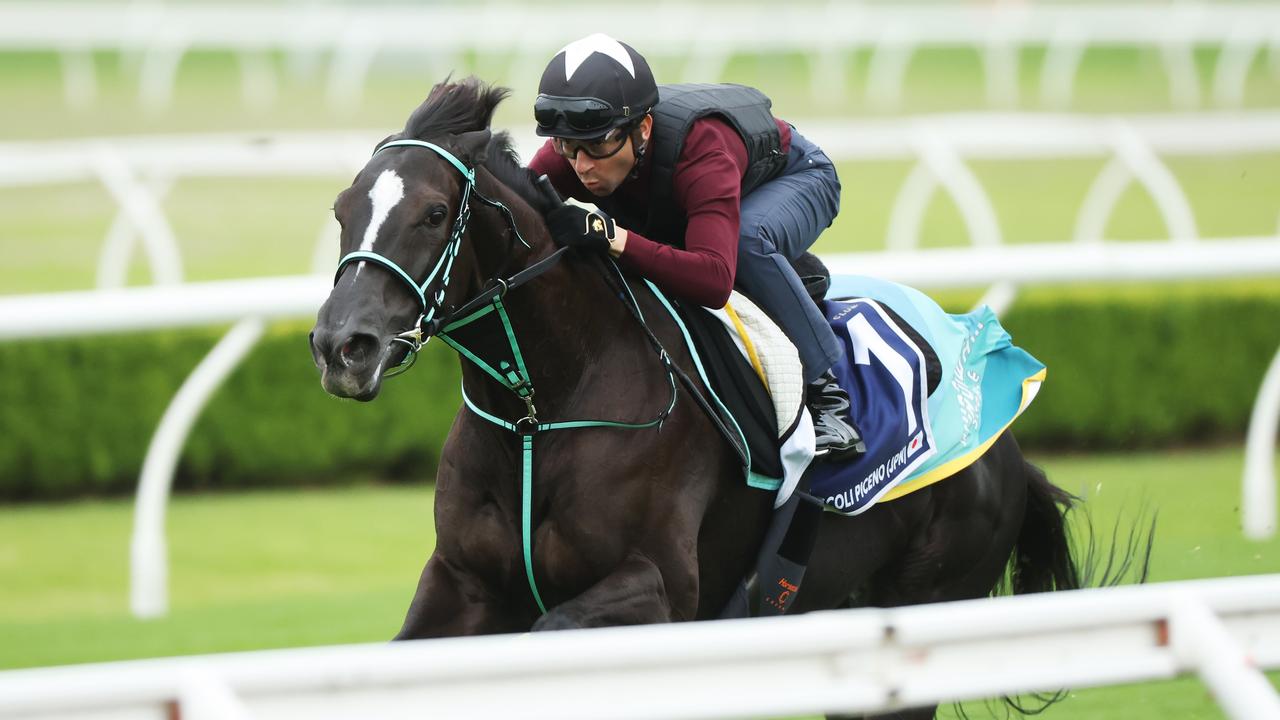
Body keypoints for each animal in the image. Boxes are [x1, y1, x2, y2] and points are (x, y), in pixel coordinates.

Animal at [307, 78, 1100, 717]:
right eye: (343, 208)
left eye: (435, 212)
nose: (343, 346)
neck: (540, 410)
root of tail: (1004, 440)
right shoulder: (463, 583)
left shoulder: (662, 590)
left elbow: (553, 631)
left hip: (926, 603)